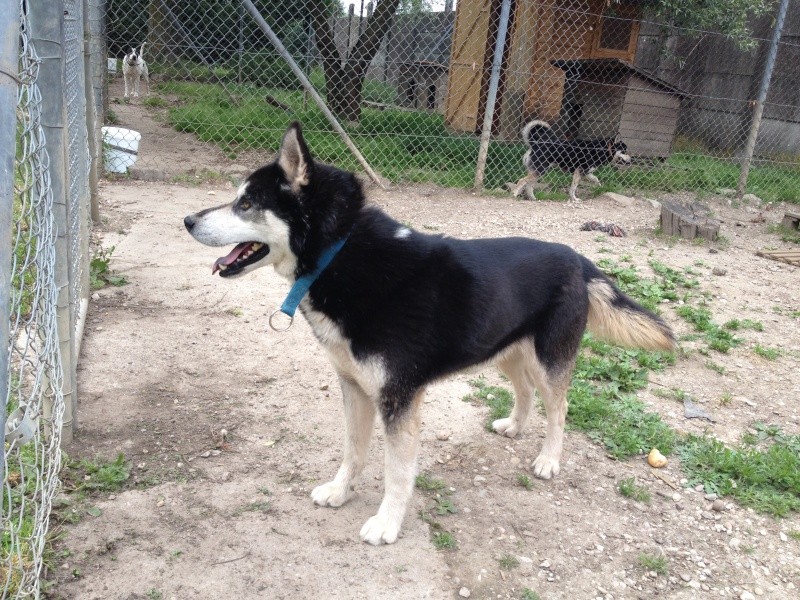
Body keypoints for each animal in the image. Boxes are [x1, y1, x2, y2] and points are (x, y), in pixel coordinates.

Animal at [183, 122, 676, 544]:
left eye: (246, 203)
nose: (187, 220)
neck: (339, 254)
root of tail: (578, 259)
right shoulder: (354, 388)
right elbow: (352, 451)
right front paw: (340, 492)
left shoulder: (398, 398)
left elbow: (397, 472)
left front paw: (386, 524)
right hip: (506, 352)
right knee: (524, 391)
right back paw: (514, 426)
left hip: (548, 359)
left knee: (559, 407)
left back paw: (549, 460)